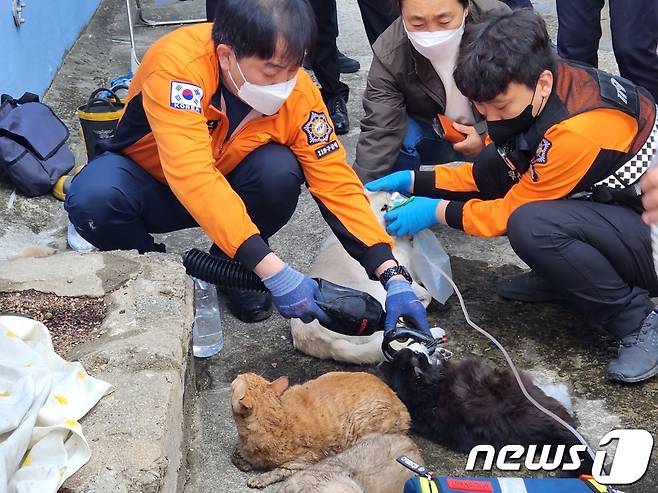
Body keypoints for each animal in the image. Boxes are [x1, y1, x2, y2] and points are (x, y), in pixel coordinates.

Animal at [228, 368, 408, 488]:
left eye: (235, 382)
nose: (238, 374)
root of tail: (399, 400)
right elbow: (236, 451)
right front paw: (243, 461)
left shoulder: (302, 462)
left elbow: (279, 471)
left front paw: (260, 478)